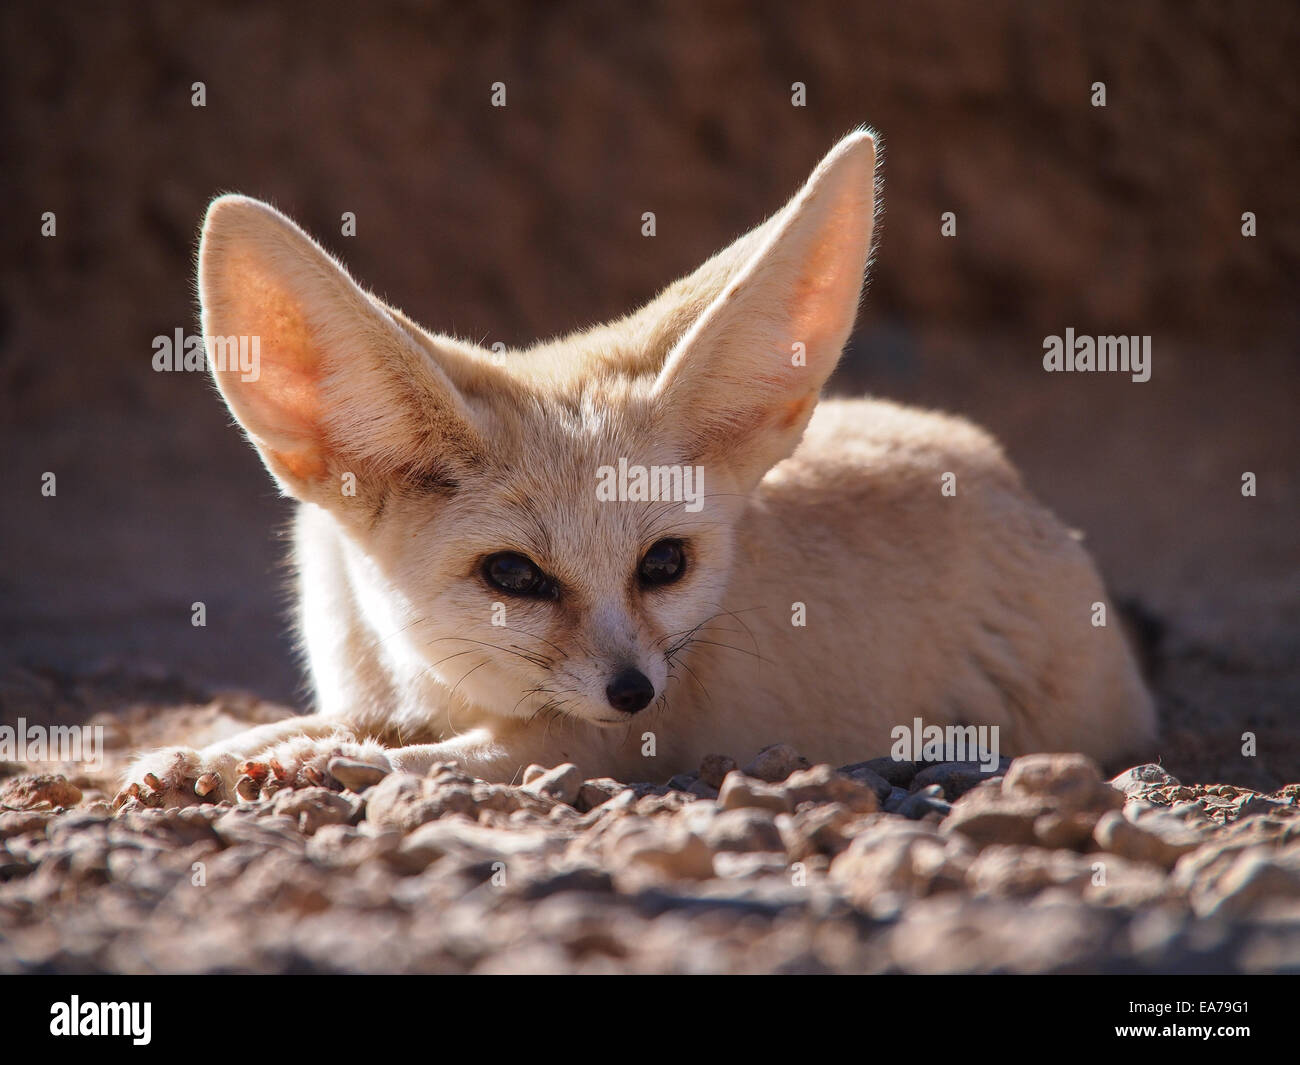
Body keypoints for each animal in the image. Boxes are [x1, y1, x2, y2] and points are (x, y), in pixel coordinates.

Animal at [119, 129, 1159, 806]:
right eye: (513, 576)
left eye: (665, 564)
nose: (634, 690)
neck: (440, 683)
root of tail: (1011, 481)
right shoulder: (379, 693)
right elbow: (308, 727)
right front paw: (205, 755)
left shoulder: (616, 741)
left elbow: (449, 757)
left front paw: (338, 767)